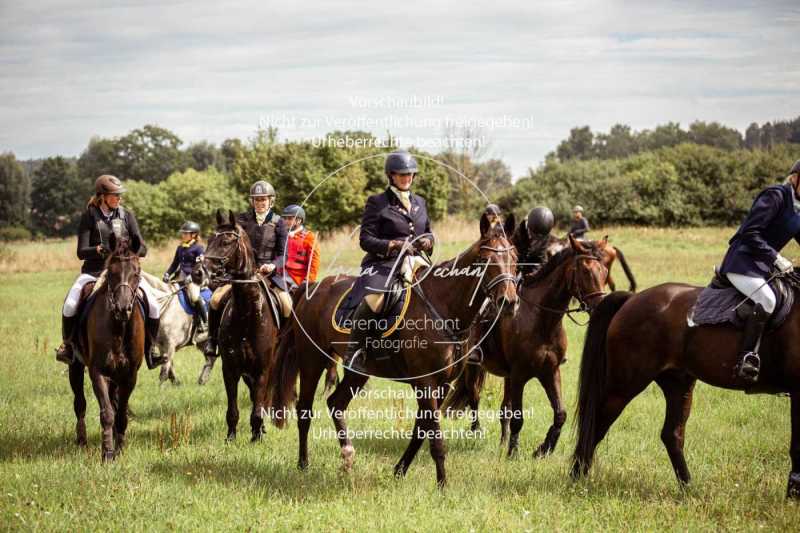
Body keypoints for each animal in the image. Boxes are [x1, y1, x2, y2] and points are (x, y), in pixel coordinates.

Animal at [69, 233, 147, 462]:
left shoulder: (129, 375)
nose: (123, 308)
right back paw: (82, 441)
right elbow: (107, 413)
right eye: (112, 273)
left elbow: (120, 413)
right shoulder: (98, 372)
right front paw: (108, 453)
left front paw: (119, 449)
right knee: (80, 403)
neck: (119, 327)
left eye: (136, 272)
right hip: (75, 366)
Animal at [268, 212, 520, 486]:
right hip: (311, 360)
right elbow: (434, 436)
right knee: (305, 411)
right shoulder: (425, 382)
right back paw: (303, 464)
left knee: (336, 403)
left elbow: (421, 430)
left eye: (516, 258)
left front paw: (400, 470)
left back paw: (347, 456)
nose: (508, 302)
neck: (442, 305)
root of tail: (313, 288)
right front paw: (442, 485)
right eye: (486, 260)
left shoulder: (442, 383)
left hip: (359, 371)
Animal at [572, 278, 800, 498]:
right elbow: (796, 447)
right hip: (624, 387)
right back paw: (577, 481)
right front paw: (792, 497)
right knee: (595, 427)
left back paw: (689, 489)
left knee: (672, 435)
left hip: (678, 385)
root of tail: (633, 298)